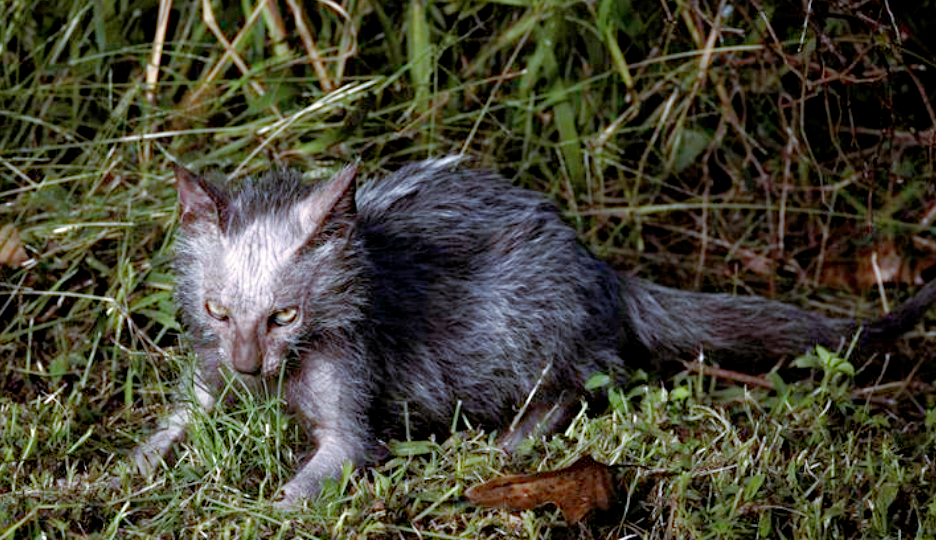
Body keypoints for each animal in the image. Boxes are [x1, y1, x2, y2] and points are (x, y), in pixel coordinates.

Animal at [135, 158, 936, 508]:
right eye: (216, 312)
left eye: (286, 317)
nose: (248, 369)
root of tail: (602, 269)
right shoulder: (205, 378)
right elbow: (168, 429)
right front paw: (115, 474)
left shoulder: (351, 428)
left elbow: (309, 483)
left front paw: (253, 512)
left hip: (514, 326)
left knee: (575, 386)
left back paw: (507, 448)